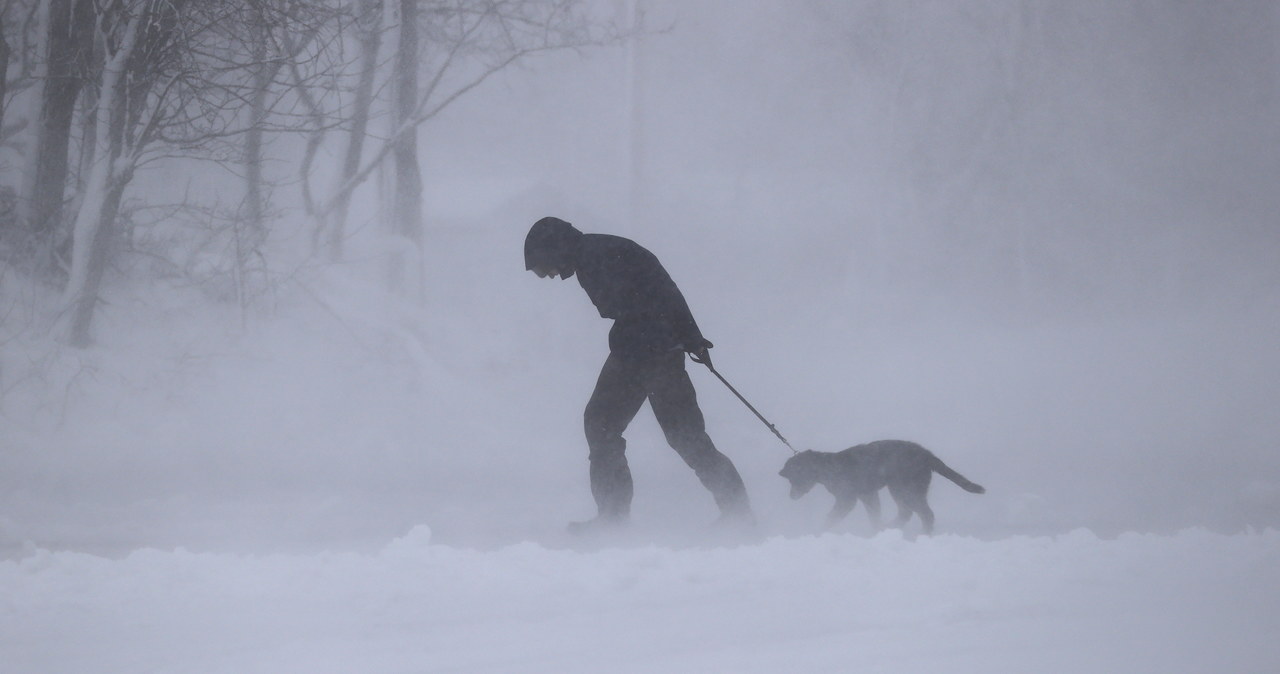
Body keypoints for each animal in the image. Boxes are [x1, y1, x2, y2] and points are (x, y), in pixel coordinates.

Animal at [773, 439, 983, 534]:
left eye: (793, 479)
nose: (791, 497)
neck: (825, 468)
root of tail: (927, 454)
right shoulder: (868, 494)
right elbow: (874, 515)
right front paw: (876, 530)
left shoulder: (847, 498)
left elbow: (832, 517)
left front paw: (821, 531)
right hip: (900, 489)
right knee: (907, 512)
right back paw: (891, 528)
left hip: (906, 488)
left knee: (925, 514)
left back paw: (923, 534)